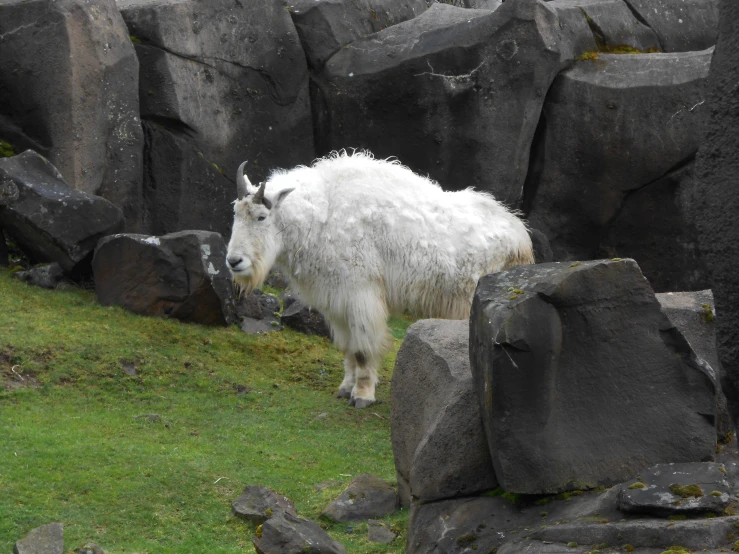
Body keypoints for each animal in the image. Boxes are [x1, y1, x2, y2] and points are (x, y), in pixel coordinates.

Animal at [225, 149, 532, 408]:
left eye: (262, 217)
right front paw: (345, 388)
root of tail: (521, 236)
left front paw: (362, 395)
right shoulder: (336, 301)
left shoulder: (361, 294)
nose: (234, 261)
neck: (323, 216)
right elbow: (348, 349)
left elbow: (362, 349)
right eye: (235, 212)